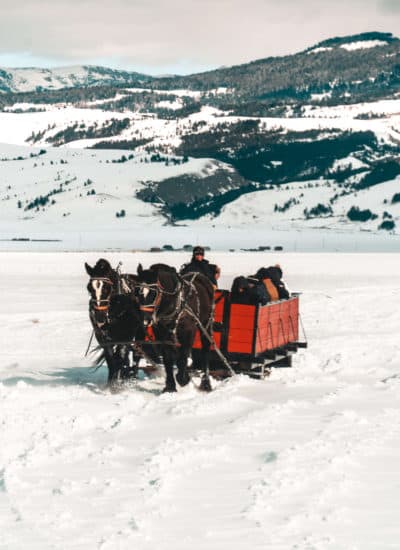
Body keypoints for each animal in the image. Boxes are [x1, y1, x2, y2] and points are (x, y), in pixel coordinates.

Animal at [84, 258, 142, 388]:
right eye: (89, 288)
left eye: (107, 288)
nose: (99, 316)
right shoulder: (102, 337)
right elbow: (111, 359)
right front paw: (111, 383)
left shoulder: (126, 336)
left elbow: (120, 357)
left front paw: (118, 385)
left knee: (136, 355)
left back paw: (132, 377)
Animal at [135, 264, 216, 392]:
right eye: (138, 292)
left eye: (154, 293)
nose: (145, 320)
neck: (175, 303)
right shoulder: (161, 333)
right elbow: (168, 357)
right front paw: (170, 386)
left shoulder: (189, 330)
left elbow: (183, 355)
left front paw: (183, 379)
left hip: (206, 324)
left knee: (205, 350)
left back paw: (206, 383)